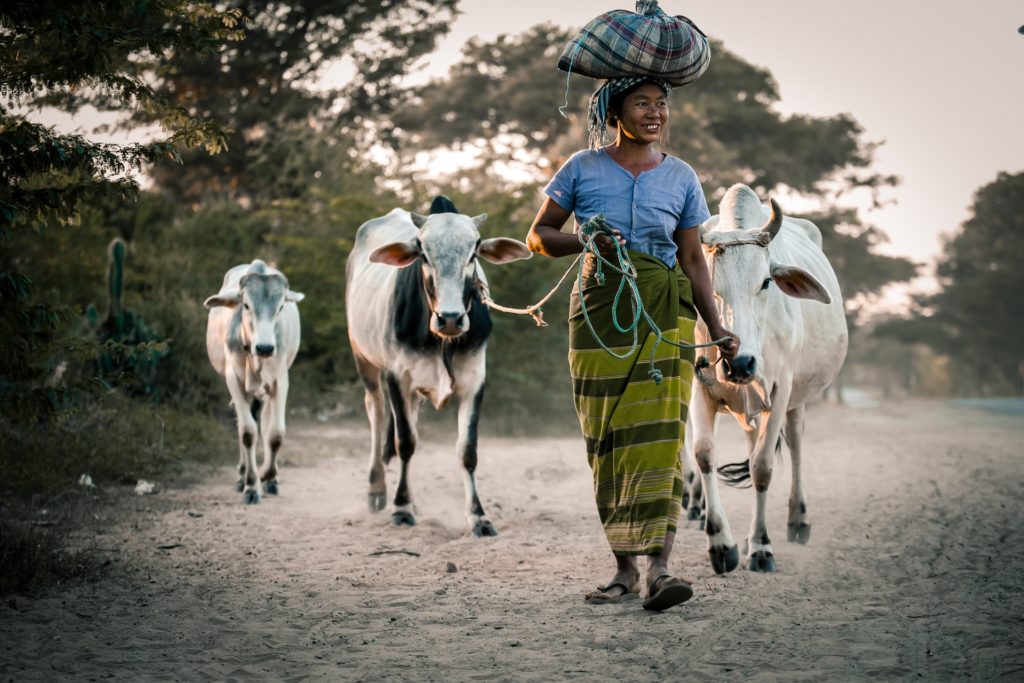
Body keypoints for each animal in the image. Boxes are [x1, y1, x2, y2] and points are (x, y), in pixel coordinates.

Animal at [203, 259, 303, 505]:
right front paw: (250, 485)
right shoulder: (234, 379)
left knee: (264, 423)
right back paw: (241, 476)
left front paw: (268, 476)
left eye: (281, 307)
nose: (265, 347)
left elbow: (275, 433)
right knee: (244, 421)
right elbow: (247, 432)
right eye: (246, 305)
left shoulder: (280, 380)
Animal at [348, 194, 532, 536]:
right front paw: (401, 509)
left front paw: (478, 516)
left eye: (474, 252)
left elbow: (467, 451)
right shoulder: (397, 376)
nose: (450, 318)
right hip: (363, 358)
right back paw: (378, 490)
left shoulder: (474, 380)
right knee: (377, 413)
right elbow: (405, 443)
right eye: (423, 252)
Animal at [688, 184, 847, 573]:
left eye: (766, 283)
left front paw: (761, 546)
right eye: (709, 287)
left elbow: (762, 467)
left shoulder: (781, 388)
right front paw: (722, 544)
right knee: (751, 442)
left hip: (796, 400)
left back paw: (798, 520)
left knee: (795, 443)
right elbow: (703, 454)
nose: (740, 364)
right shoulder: (699, 386)